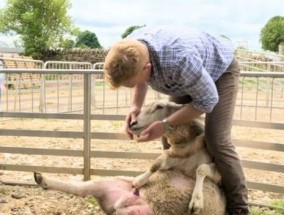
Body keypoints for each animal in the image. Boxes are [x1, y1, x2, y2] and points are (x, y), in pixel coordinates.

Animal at [33, 101, 224, 215]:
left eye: (160, 106)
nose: (133, 123)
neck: (186, 147)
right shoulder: (171, 156)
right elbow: (155, 165)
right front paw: (139, 180)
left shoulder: (216, 172)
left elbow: (202, 169)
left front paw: (196, 201)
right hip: (108, 184)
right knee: (80, 189)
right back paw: (42, 179)